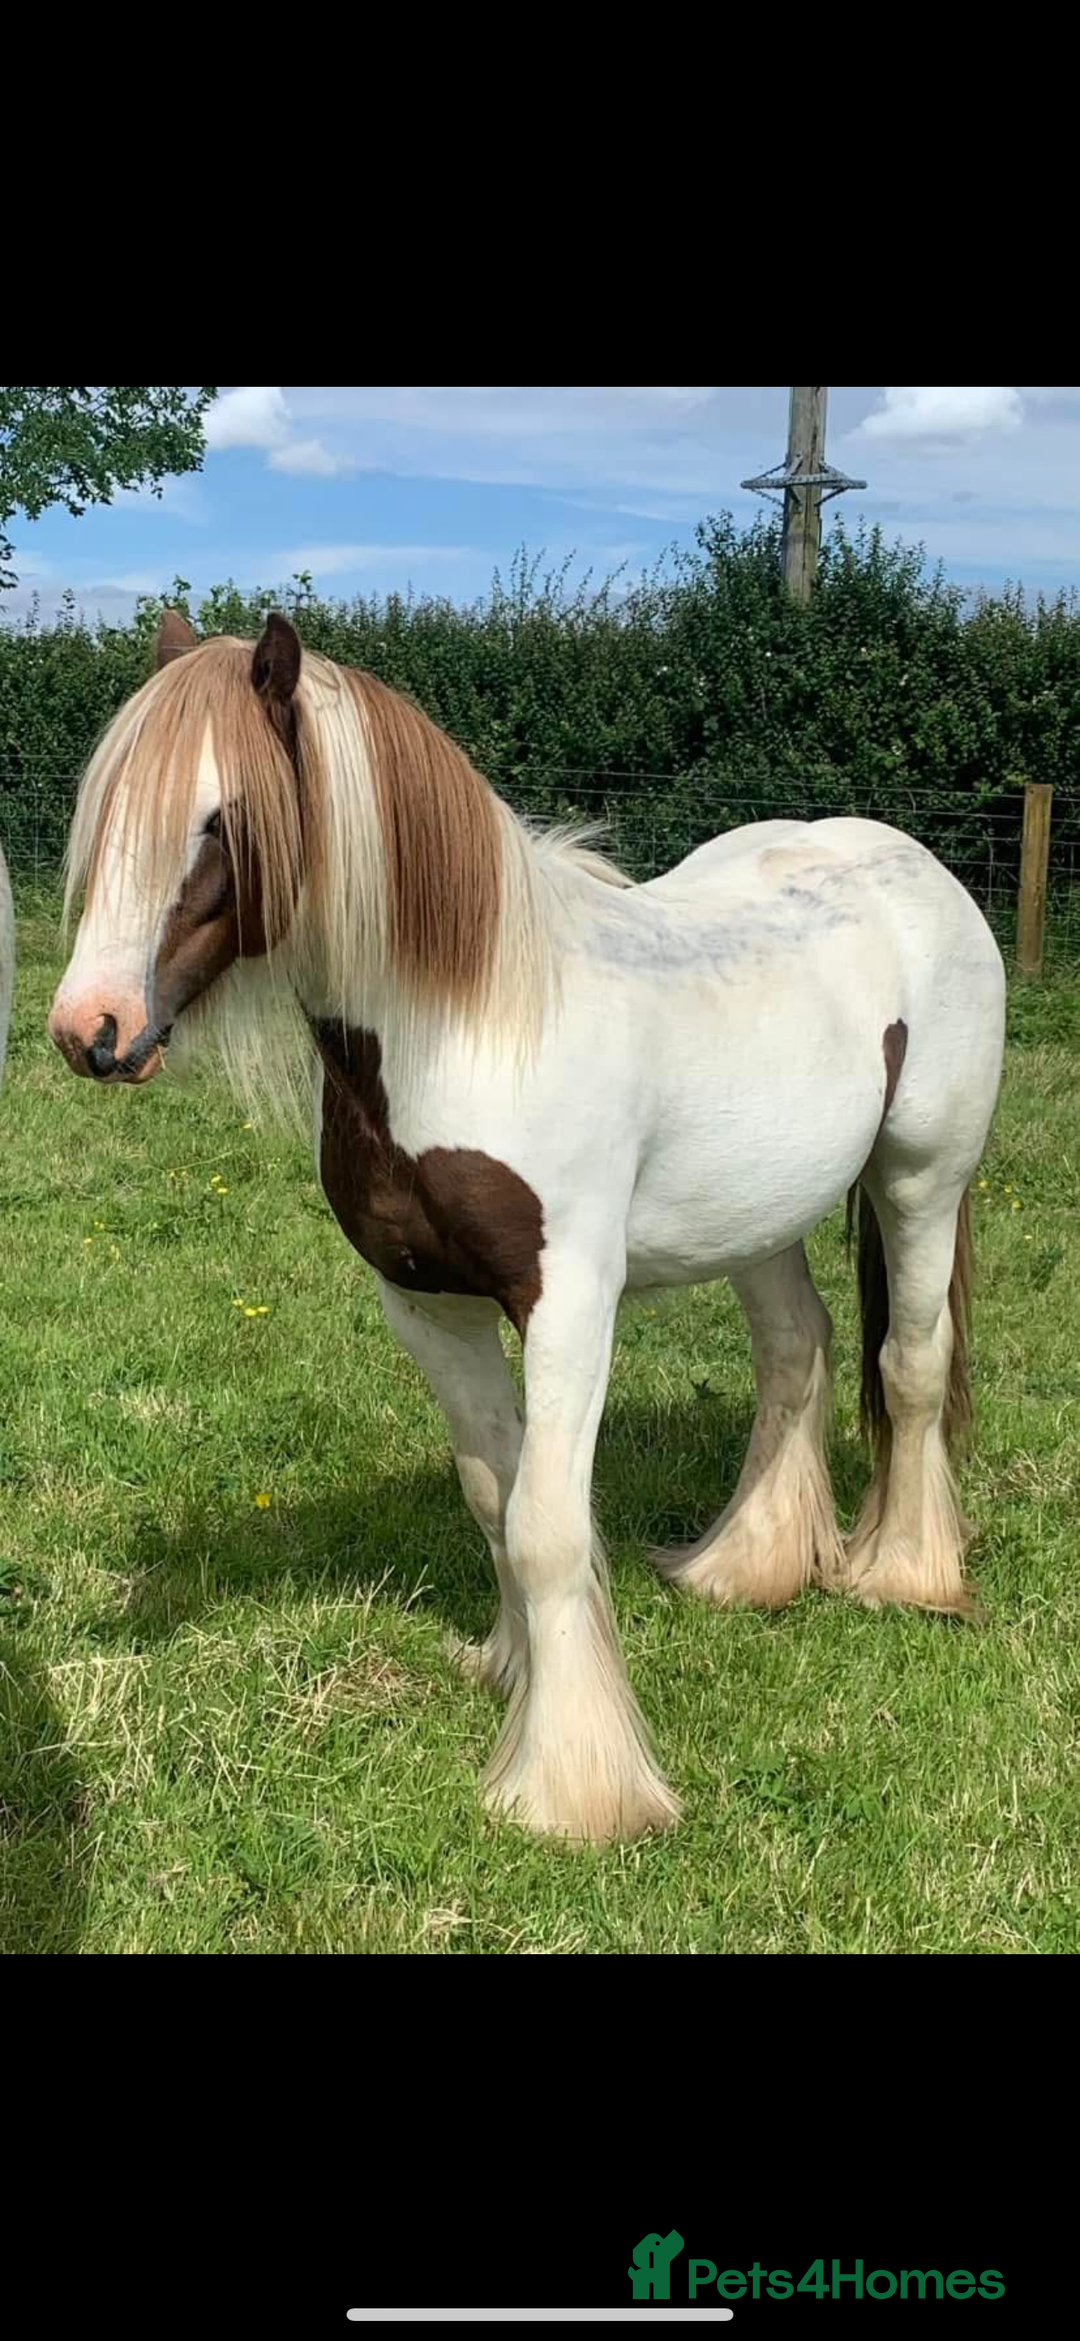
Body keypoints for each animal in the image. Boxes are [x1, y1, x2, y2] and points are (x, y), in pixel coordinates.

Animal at [49, 610, 1006, 1845]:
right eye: (111, 808)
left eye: (222, 819)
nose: (91, 1028)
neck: (469, 1026)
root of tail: (916, 865)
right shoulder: (429, 1306)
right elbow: (493, 1497)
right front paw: (513, 1667)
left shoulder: (566, 1307)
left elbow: (549, 1525)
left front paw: (575, 1785)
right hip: (760, 1218)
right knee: (799, 1350)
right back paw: (749, 1569)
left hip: (922, 1177)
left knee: (914, 1362)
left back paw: (901, 1575)